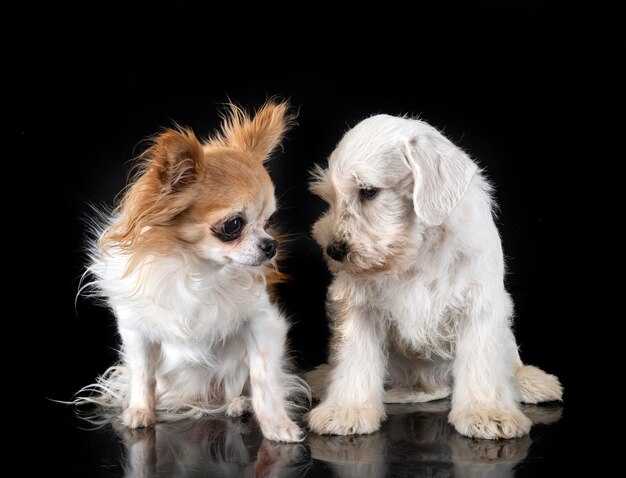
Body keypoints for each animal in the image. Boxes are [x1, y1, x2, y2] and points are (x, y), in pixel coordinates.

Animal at [304, 114, 560, 438]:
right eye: (330, 198)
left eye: (368, 191)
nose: (333, 250)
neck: (418, 247)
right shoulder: (361, 308)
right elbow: (354, 360)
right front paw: (346, 410)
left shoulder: (478, 306)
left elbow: (482, 363)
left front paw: (488, 412)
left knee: (510, 359)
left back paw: (531, 381)